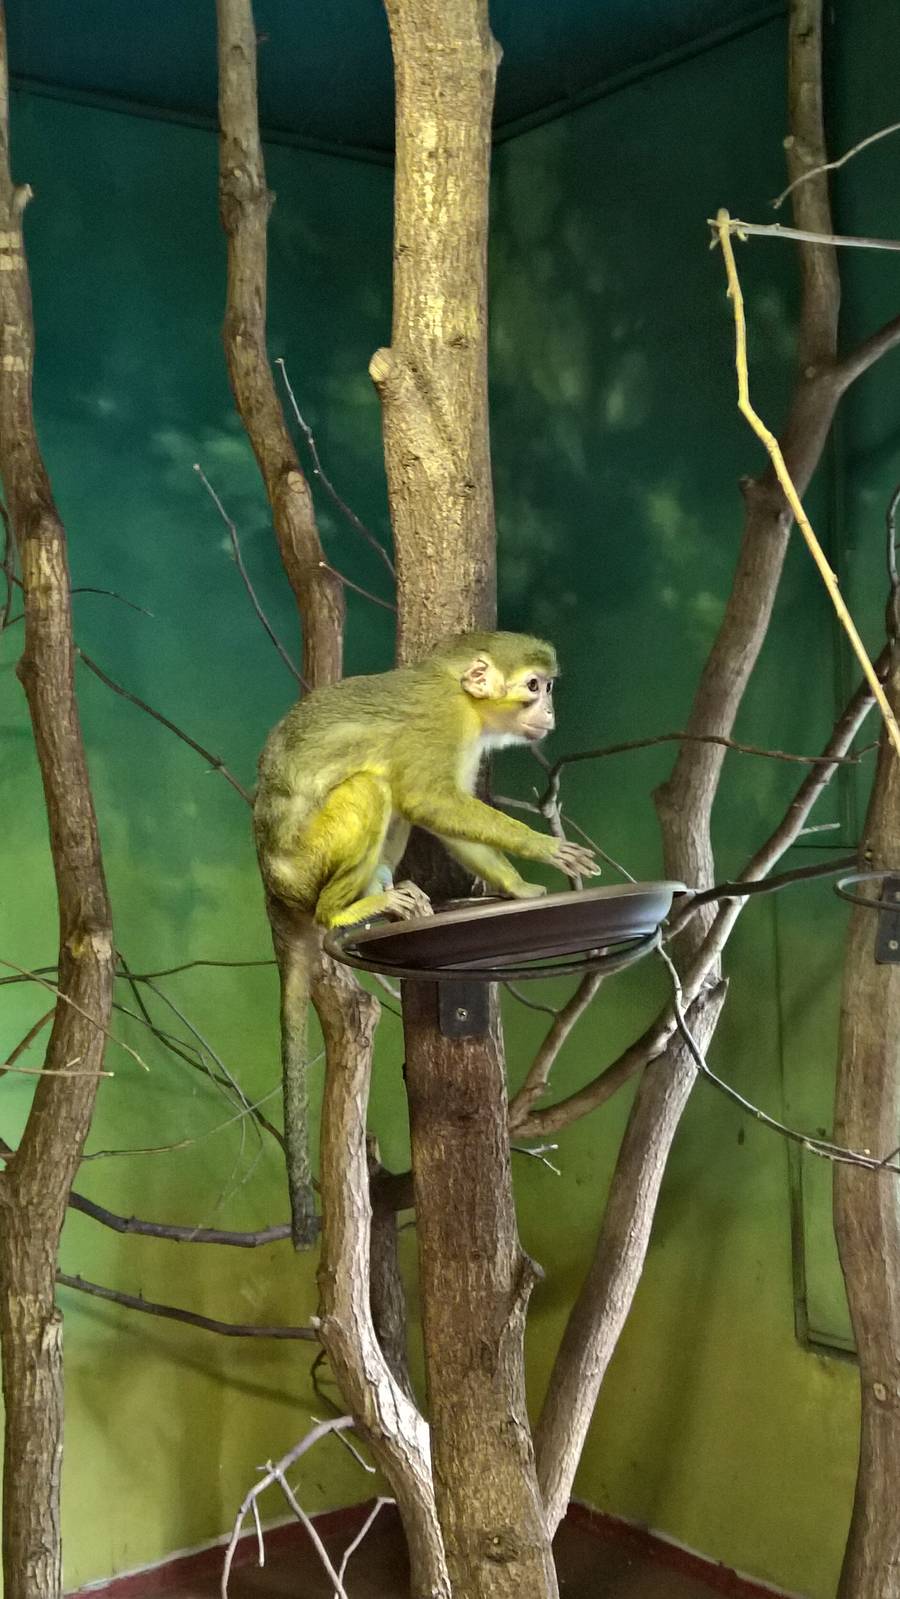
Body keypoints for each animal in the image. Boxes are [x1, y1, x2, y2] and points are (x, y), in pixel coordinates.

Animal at [254, 630, 598, 1246]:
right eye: (535, 686)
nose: (551, 712)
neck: (459, 692)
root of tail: (273, 884)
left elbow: (441, 818)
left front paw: (519, 888)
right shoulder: (445, 723)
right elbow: (428, 799)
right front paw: (542, 848)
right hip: (305, 864)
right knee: (374, 787)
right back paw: (345, 912)